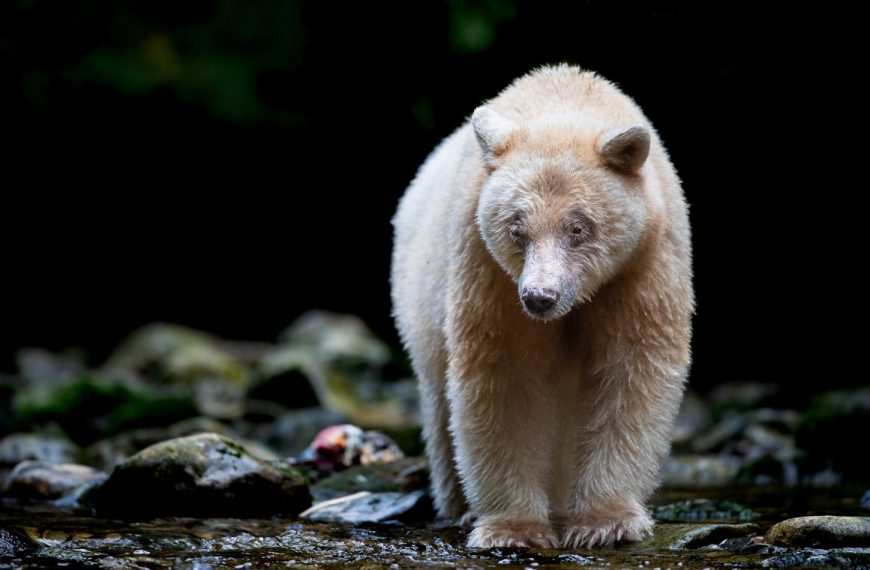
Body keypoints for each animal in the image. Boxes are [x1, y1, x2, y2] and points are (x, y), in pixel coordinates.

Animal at [390, 65, 693, 549]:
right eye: (517, 229)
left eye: (578, 227)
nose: (540, 297)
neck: (560, 101)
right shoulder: (487, 270)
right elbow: (508, 377)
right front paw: (515, 529)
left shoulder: (641, 265)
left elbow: (629, 369)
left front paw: (604, 523)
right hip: (421, 304)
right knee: (440, 404)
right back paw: (460, 507)